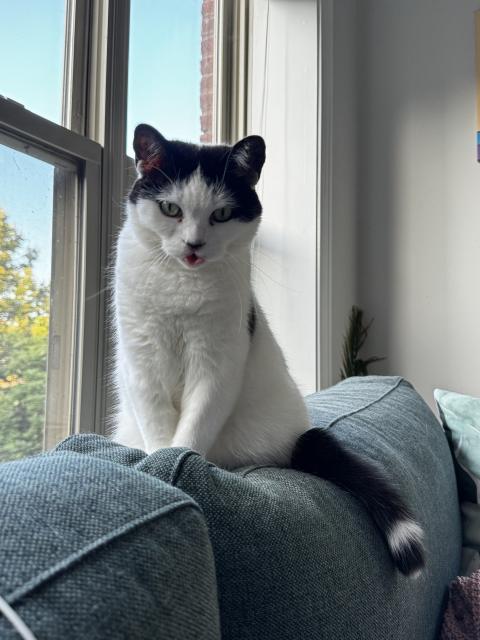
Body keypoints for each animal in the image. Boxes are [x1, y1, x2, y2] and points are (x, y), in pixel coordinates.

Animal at [111, 124, 424, 576]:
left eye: (221, 215)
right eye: (170, 208)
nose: (193, 245)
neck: (180, 286)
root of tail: (294, 439)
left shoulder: (219, 362)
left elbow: (194, 425)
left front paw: (175, 463)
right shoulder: (141, 356)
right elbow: (155, 421)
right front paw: (156, 463)